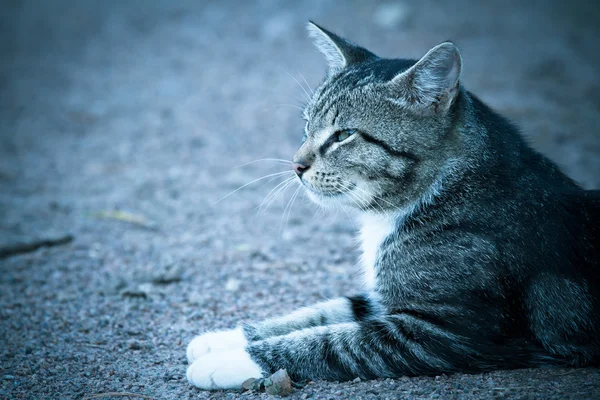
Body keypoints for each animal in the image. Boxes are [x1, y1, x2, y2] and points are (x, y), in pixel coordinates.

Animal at [185, 21, 596, 390]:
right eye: (306, 125)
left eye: (344, 135)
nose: (296, 165)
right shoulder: (383, 298)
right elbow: (324, 310)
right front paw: (222, 339)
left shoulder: (448, 330)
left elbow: (331, 341)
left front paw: (228, 361)